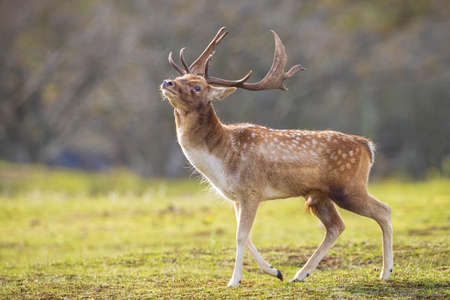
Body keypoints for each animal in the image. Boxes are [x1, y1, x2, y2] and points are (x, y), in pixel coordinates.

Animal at [160, 27, 392, 286]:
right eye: (181, 78)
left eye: (197, 87)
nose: (167, 82)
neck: (222, 157)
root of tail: (367, 146)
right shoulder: (236, 197)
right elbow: (244, 235)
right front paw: (275, 271)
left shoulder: (252, 190)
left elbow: (241, 236)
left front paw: (234, 281)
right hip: (318, 194)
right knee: (336, 226)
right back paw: (300, 275)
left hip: (349, 187)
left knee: (384, 211)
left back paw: (385, 272)